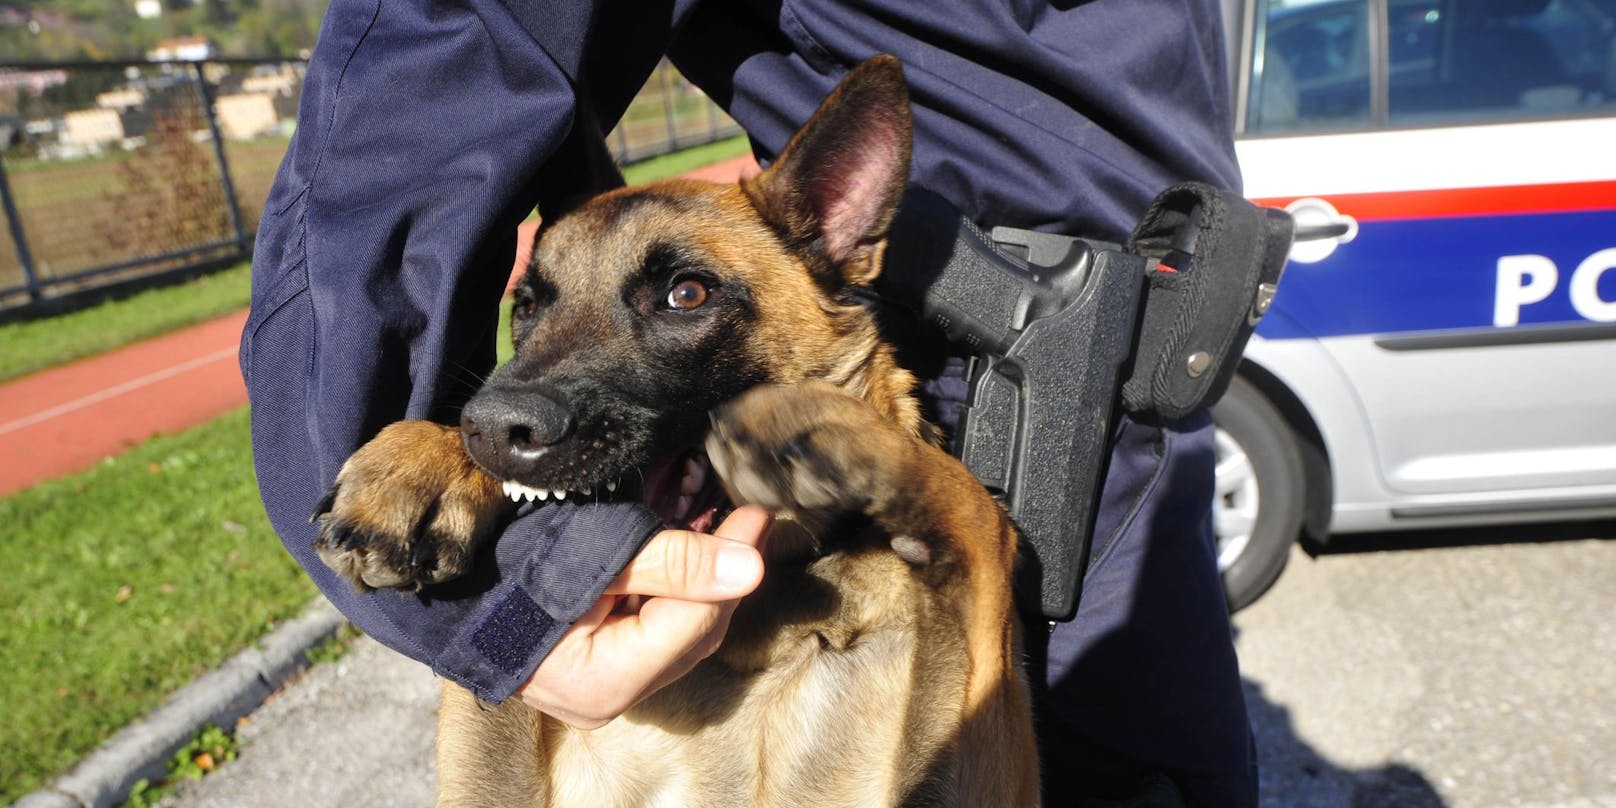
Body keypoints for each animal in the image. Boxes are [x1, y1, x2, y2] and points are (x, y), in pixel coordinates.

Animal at [310, 53, 1040, 804]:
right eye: (529, 306)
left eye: (685, 295)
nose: (491, 429)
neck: (768, 610)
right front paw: (420, 465)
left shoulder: (986, 751)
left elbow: (980, 513)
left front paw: (813, 422)